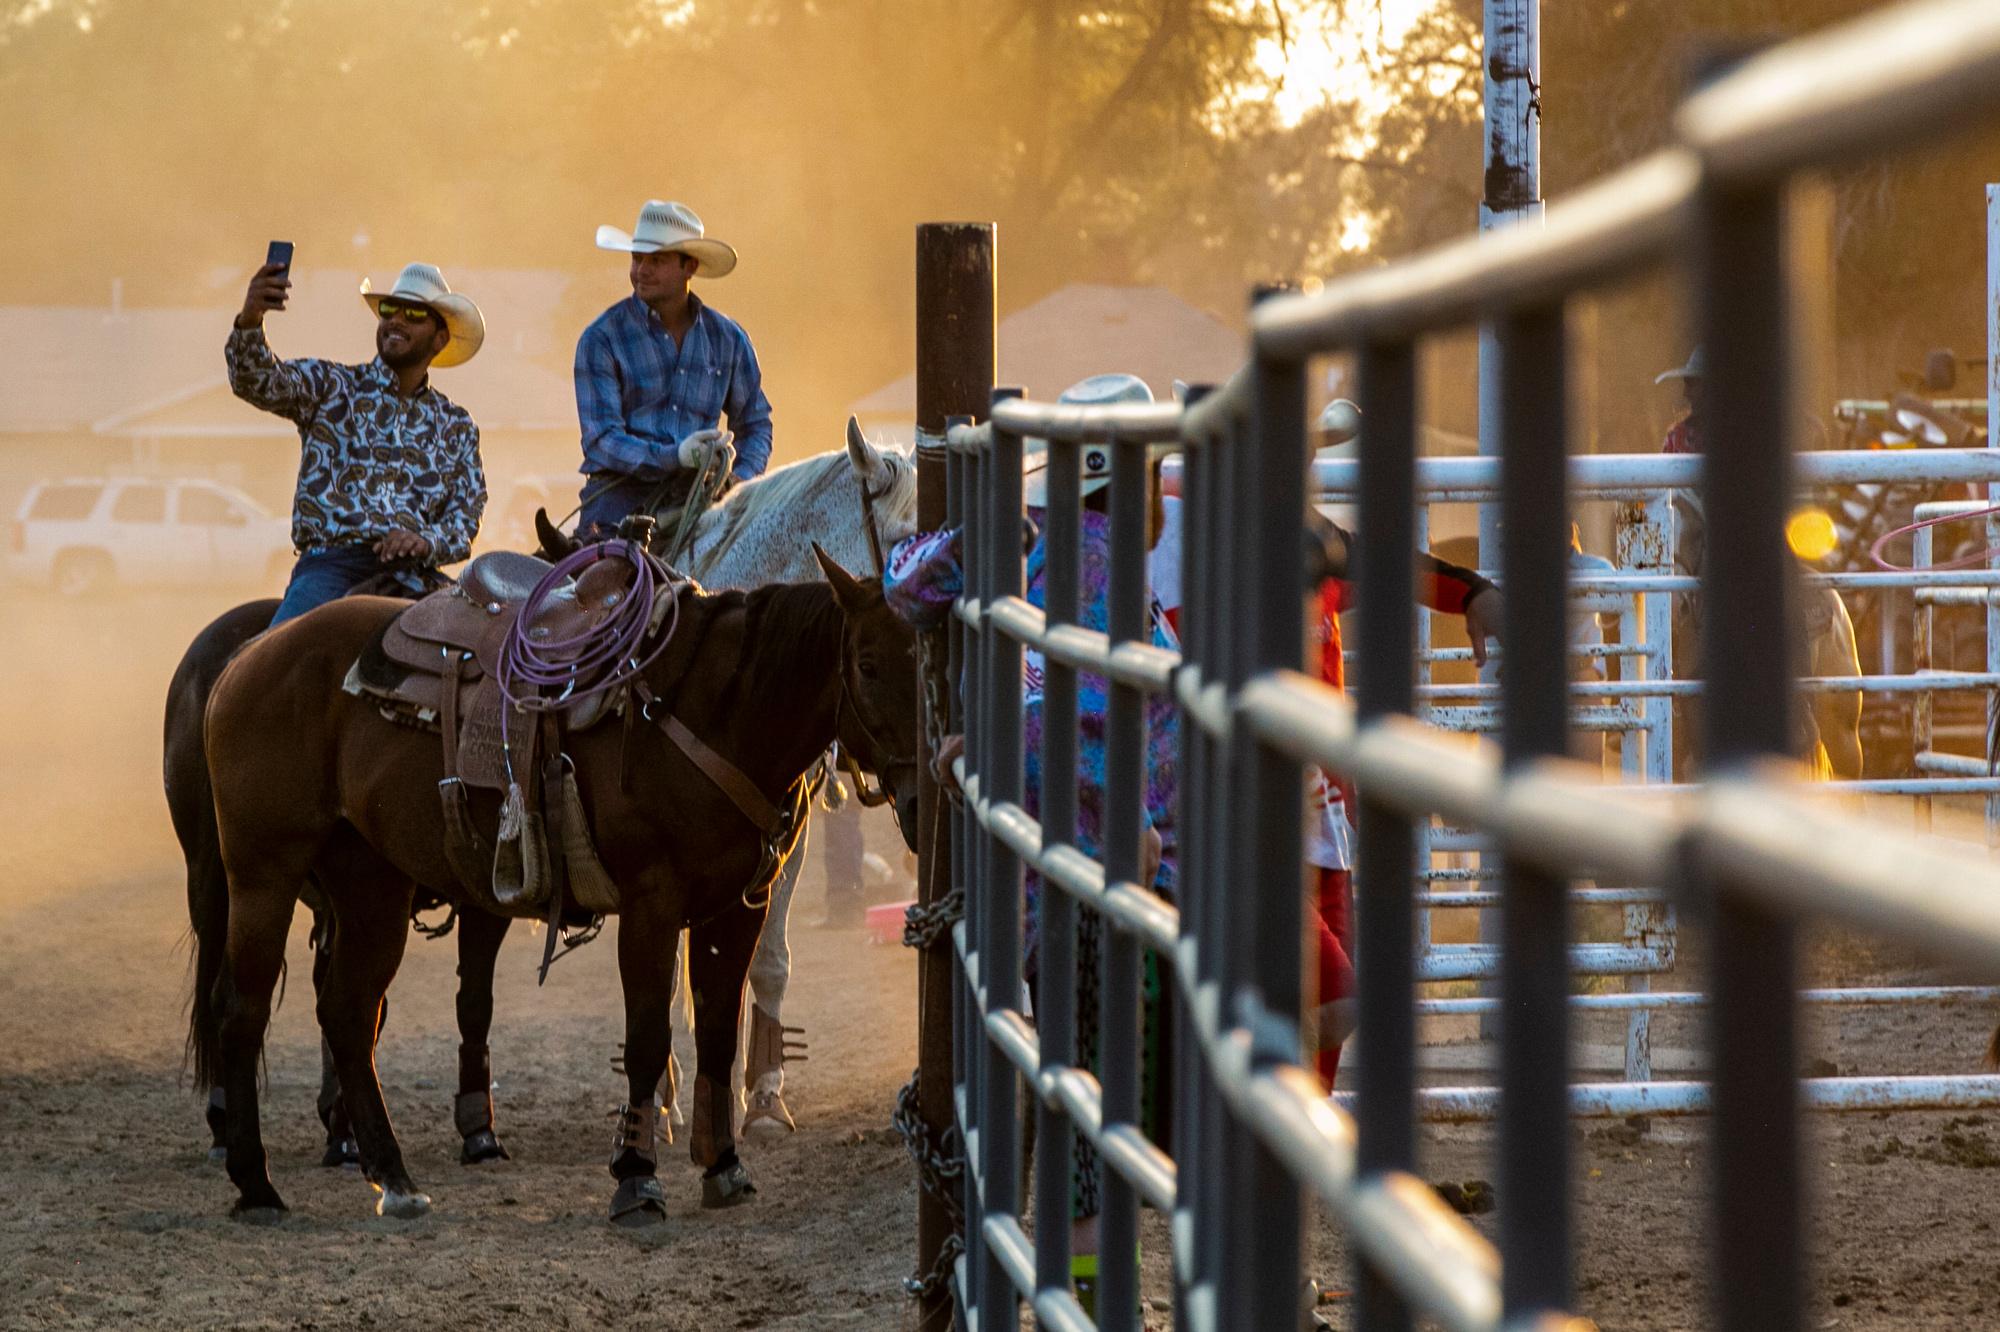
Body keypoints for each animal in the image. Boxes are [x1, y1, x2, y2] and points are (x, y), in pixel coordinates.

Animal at [199, 544, 916, 1216]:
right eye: (867, 664)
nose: (916, 791)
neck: (709, 712)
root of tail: (249, 657)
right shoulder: (653, 902)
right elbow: (648, 1037)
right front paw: (636, 1179)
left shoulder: (738, 907)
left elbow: (716, 1031)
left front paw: (724, 1169)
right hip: (261, 873)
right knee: (242, 1012)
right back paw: (255, 1182)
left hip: (371, 885)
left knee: (348, 1011)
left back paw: (395, 1180)